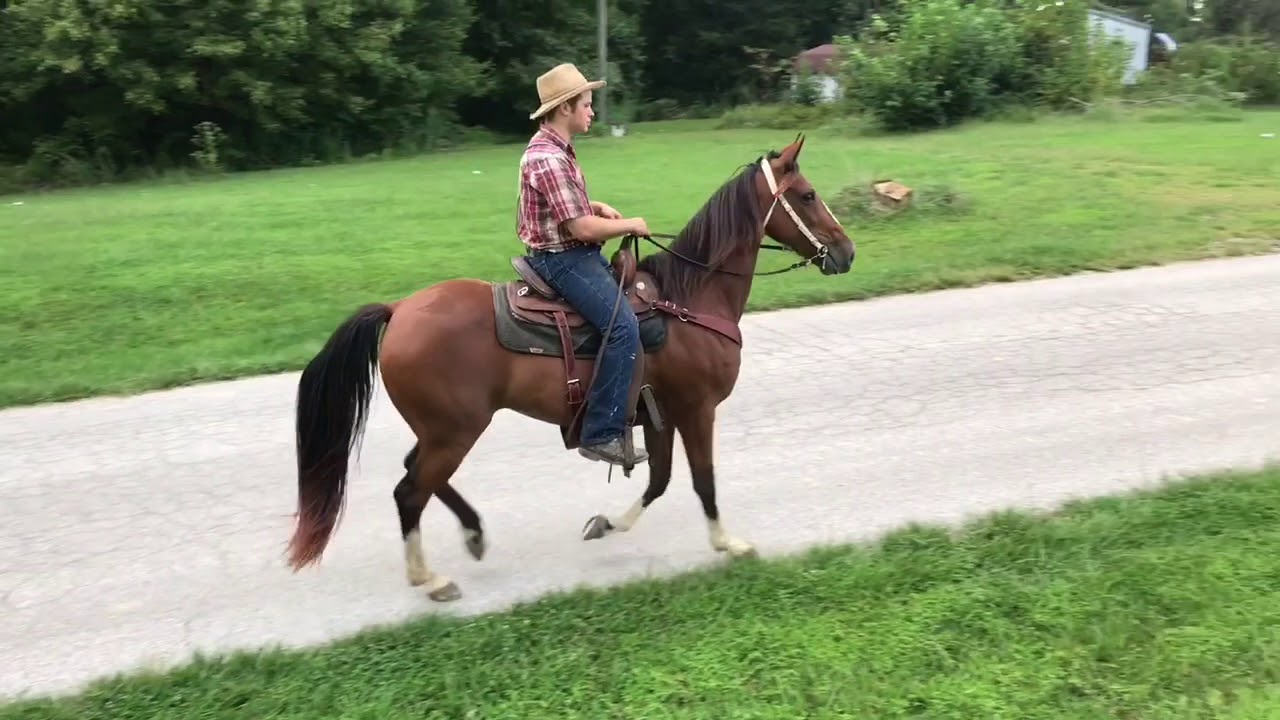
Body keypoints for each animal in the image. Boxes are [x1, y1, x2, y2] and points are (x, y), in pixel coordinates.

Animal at [286, 133, 856, 601]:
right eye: (807, 195)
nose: (846, 252)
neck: (690, 298)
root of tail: (399, 309)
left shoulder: (660, 414)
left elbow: (660, 480)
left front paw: (607, 524)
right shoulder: (697, 409)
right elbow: (703, 481)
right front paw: (729, 544)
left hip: (441, 430)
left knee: (417, 477)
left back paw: (472, 534)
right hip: (455, 430)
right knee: (410, 491)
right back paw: (430, 578)